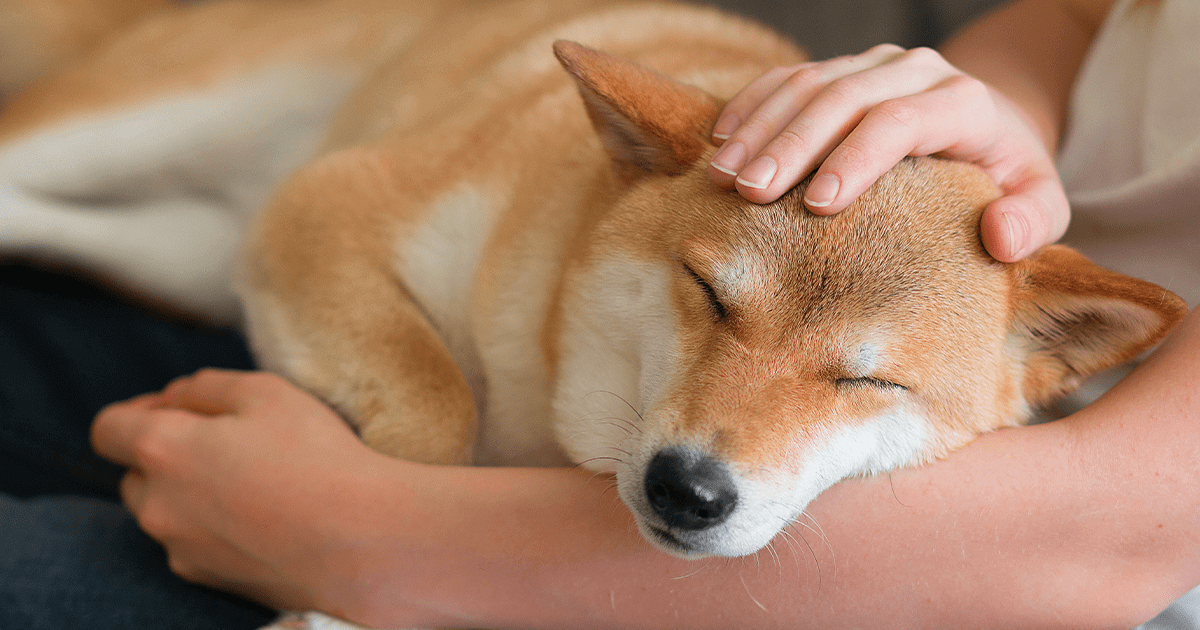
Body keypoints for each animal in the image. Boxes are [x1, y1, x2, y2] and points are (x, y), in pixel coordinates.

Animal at [0, 0, 1185, 624]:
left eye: (867, 380)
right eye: (710, 296)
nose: (689, 490)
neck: (546, 410)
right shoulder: (327, 206)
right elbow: (432, 421)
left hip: (187, 248)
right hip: (151, 121)